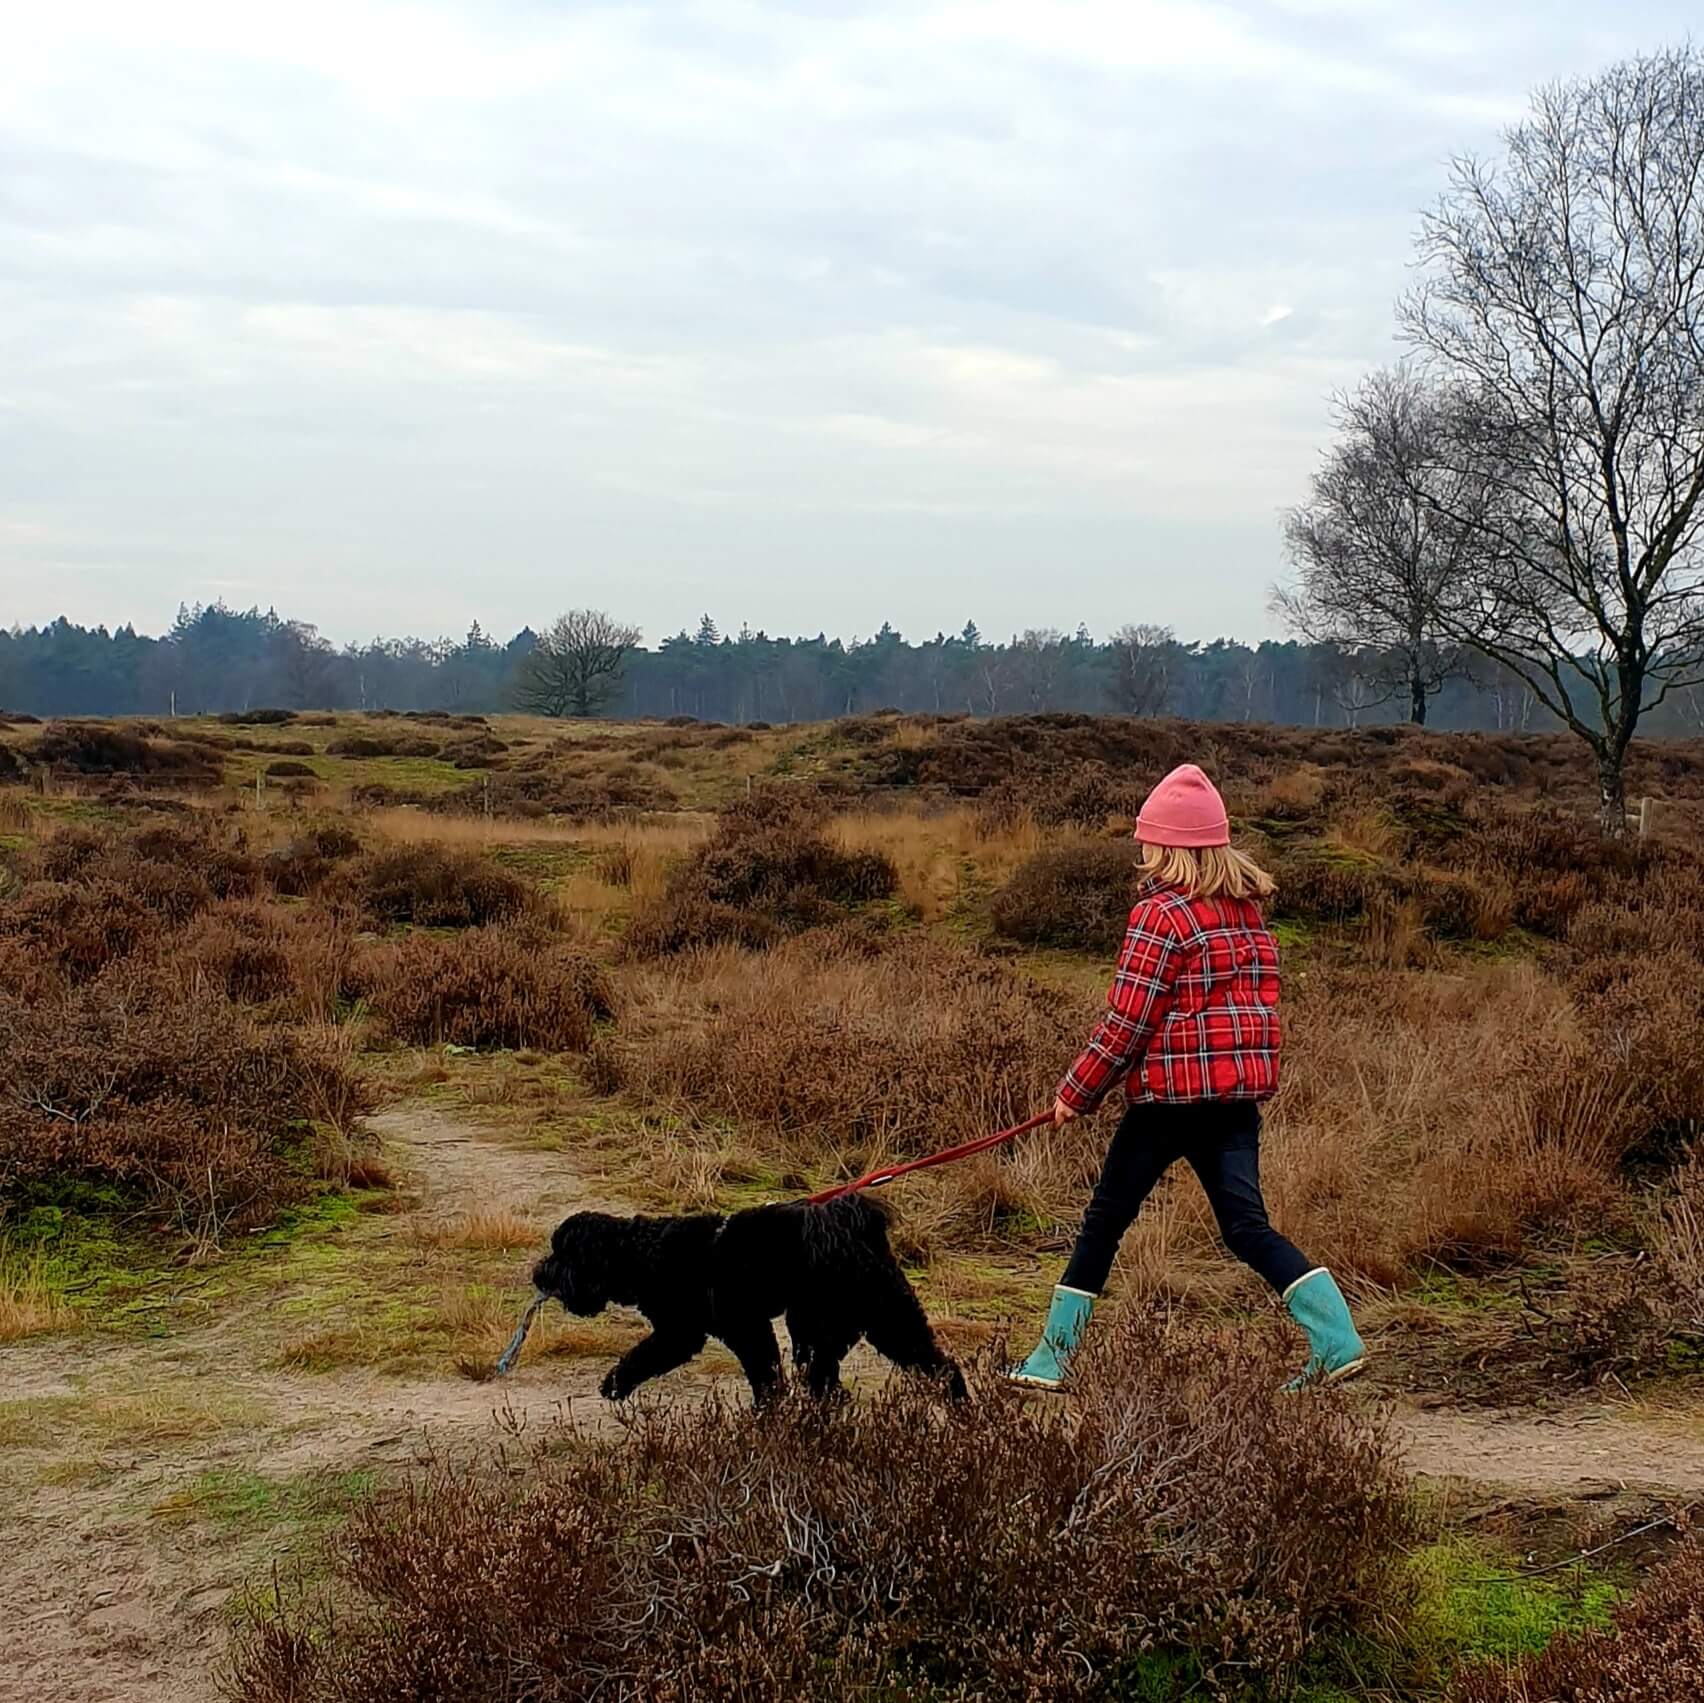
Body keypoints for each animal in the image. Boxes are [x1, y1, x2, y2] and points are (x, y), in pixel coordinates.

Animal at [531, 1193, 967, 1404]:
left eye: (562, 1253)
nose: (538, 1273)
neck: (643, 1253)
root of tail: (858, 1229)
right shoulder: (710, 1332)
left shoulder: (717, 1330)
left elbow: (645, 1355)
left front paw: (615, 1383)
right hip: (875, 1321)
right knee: (938, 1368)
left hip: (842, 1326)